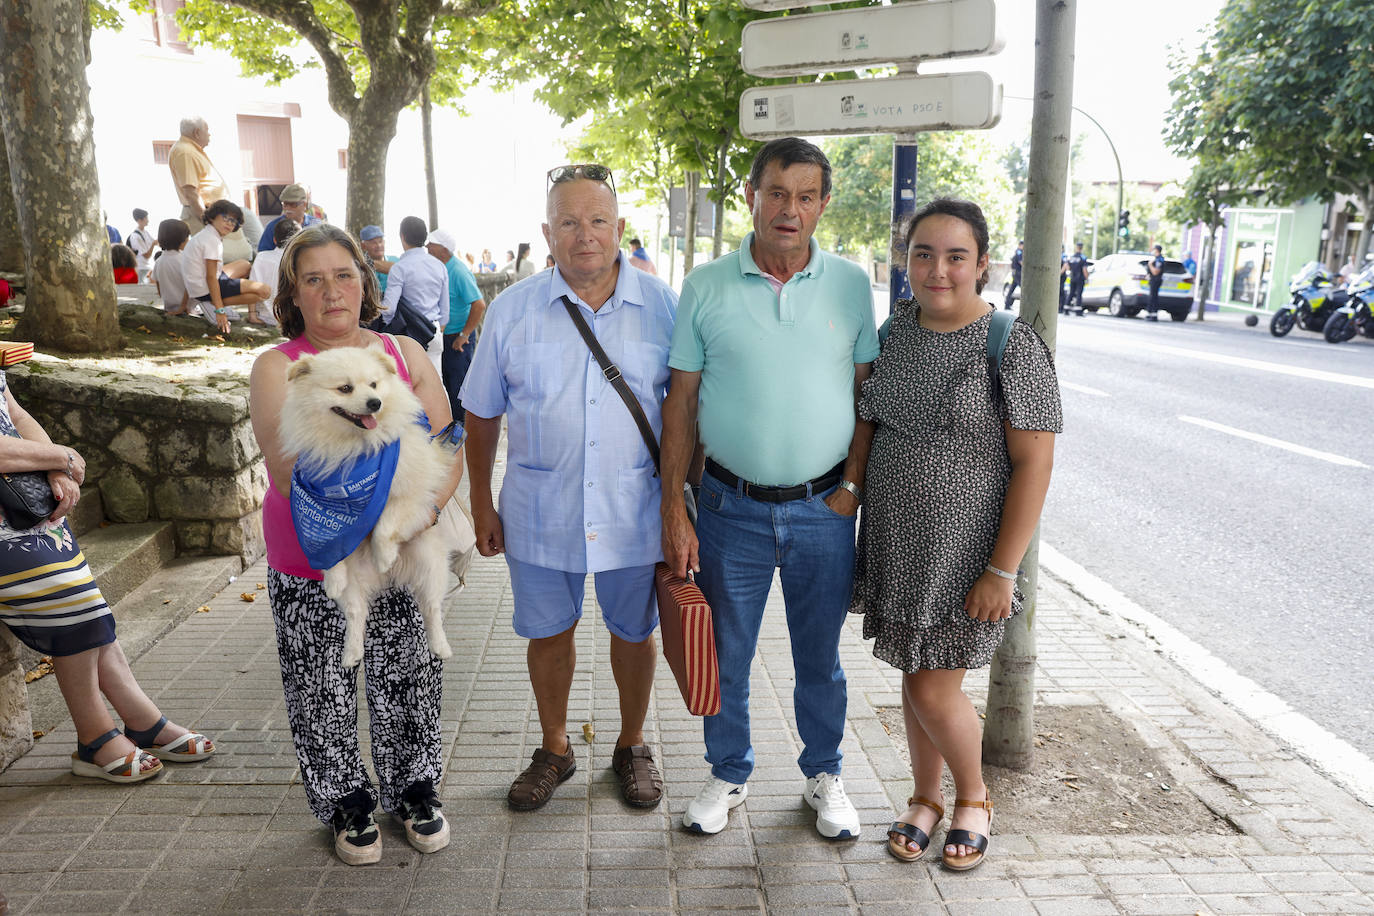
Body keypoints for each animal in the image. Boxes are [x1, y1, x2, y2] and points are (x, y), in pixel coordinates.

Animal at [278, 347, 456, 670]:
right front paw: (332, 579)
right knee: (355, 613)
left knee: (432, 608)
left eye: (374, 384)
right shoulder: (318, 506)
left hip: (430, 563)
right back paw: (351, 652)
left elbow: (385, 523)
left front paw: (383, 555)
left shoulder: (409, 491)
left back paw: (440, 646)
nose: (375, 403)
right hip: (357, 581)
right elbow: (329, 547)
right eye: (345, 388)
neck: (354, 448)